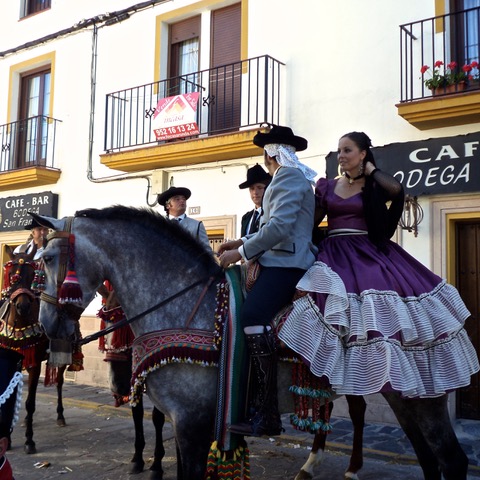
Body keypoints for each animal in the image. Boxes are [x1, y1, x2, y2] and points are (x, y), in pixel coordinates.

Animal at [32, 206, 468, 480]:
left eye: (49, 258)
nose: (47, 325)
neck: (187, 304)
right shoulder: (189, 422)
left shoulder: (192, 423)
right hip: (401, 393)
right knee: (429, 459)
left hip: (423, 397)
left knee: (452, 460)